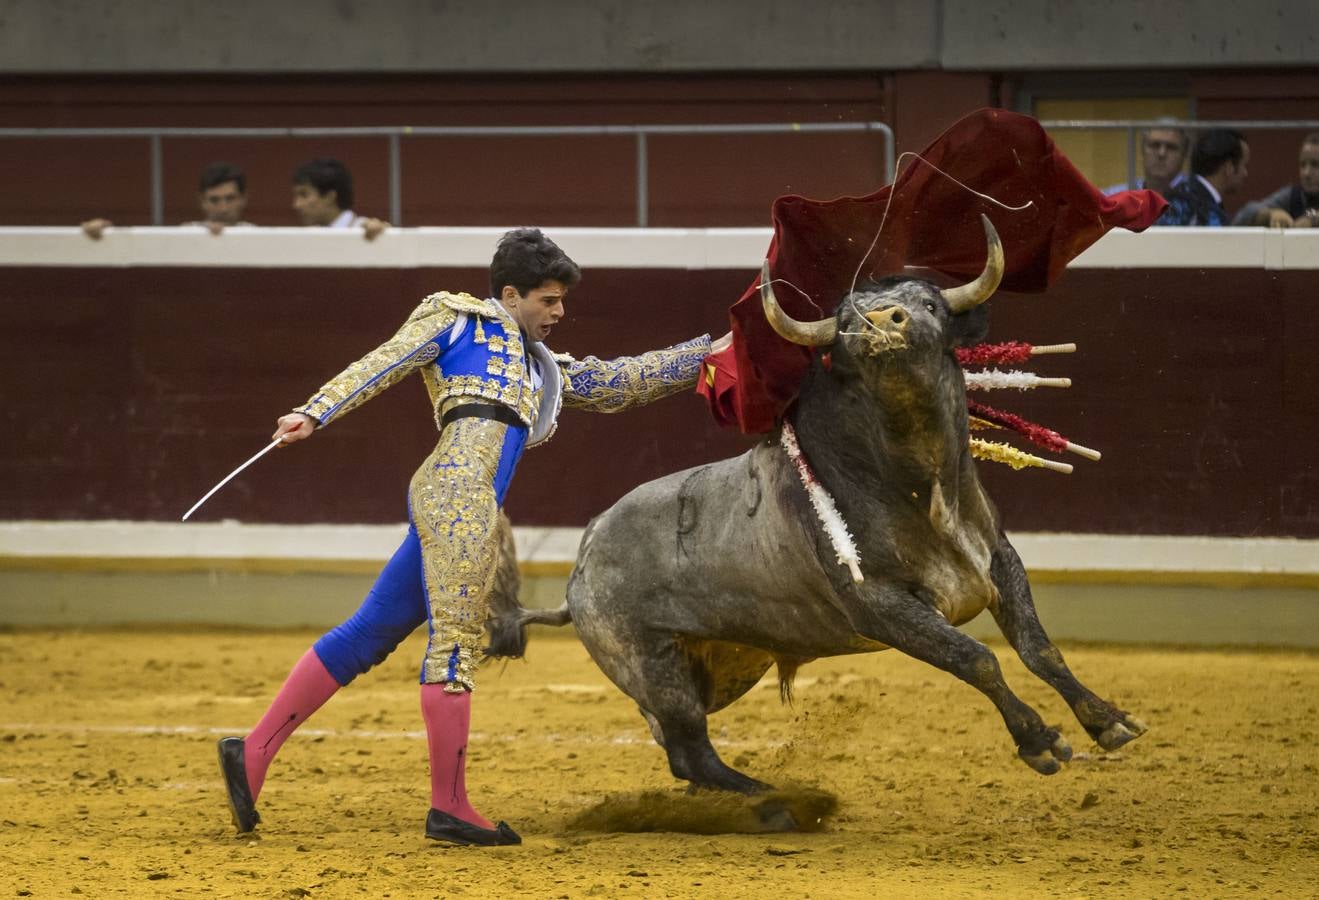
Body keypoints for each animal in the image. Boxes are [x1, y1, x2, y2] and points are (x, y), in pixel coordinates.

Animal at [490, 219, 1150, 791]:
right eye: (843, 318)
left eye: (930, 303)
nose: (879, 321)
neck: (918, 485)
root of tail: (579, 573)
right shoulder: (881, 606)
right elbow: (977, 658)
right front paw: (1041, 741)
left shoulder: (998, 561)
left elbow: (1040, 648)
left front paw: (1109, 721)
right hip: (653, 667)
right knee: (690, 749)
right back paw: (759, 794)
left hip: (725, 664)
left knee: (680, 749)